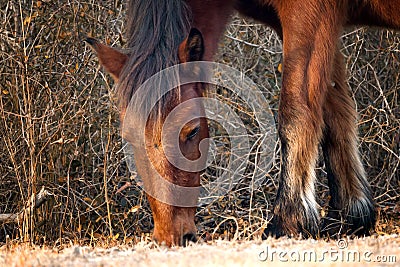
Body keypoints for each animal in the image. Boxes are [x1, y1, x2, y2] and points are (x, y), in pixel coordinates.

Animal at [85, 0, 400, 247]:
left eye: (192, 131)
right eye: (129, 138)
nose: (170, 237)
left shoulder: (309, 14)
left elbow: (296, 113)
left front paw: (288, 222)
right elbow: (336, 113)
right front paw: (351, 216)